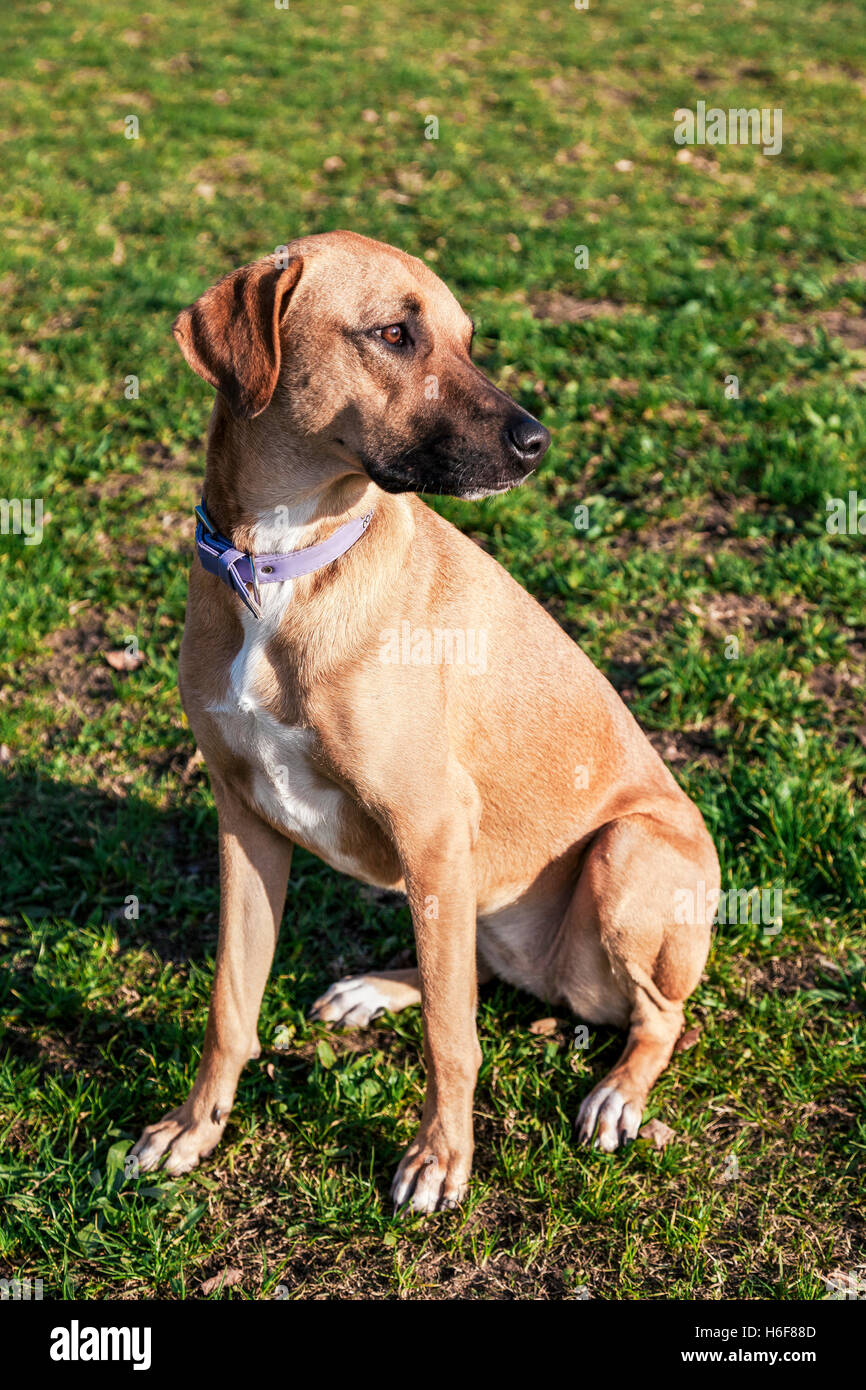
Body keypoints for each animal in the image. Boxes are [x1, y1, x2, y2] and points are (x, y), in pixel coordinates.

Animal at [132, 233, 722, 1212]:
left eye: (467, 339)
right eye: (395, 334)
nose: (536, 442)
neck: (279, 567)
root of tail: (557, 980)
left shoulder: (431, 824)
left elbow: (454, 1038)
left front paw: (441, 1158)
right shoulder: (247, 821)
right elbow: (230, 1003)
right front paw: (195, 1127)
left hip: (624, 852)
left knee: (659, 1017)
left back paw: (617, 1095)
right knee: (475, 970)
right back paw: (375, 986)